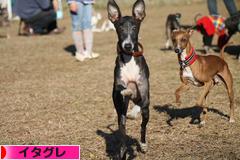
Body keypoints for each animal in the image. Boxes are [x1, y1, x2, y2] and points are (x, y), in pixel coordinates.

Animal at [107, 0, 149, 158]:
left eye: (134, 27)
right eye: (120, 28)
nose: (128, 45)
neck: (130, 58)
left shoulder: (144, 89)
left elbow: (142, 102)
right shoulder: (118, 85)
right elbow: (121, 88)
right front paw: (127, 91)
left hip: (145, 111)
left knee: (143, 124)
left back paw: (143, 144)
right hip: (121, 116)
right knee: (123, 133)